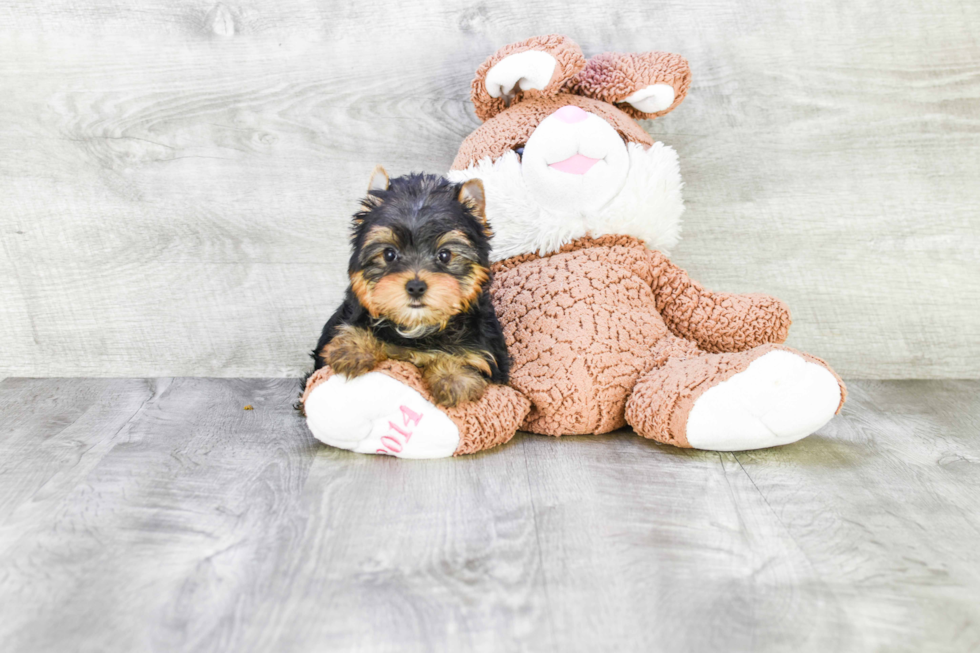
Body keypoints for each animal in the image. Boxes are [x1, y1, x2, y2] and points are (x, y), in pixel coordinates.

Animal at [310, 166, 510, 404]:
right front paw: (354, 347)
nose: (415, 286)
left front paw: (453, 377)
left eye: (444, 255)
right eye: (389, 254)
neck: (417, 327)